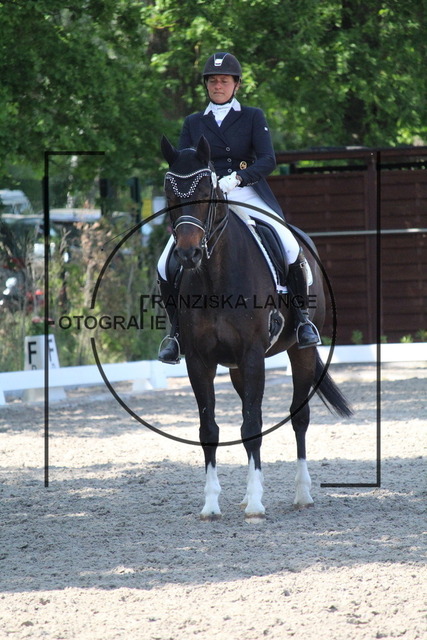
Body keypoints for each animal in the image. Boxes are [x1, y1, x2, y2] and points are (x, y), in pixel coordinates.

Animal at [160, 134, 352, 521]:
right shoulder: (199, 361)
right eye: (170, 194)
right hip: (234, 368)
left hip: (299, 351)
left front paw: (256, 504)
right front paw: (211, 504)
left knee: (299, 417)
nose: (188, 255)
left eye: (207, 189)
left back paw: (302, 493)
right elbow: (209, 429)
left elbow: (252, 426)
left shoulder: (252, 356)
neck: (214, 277)